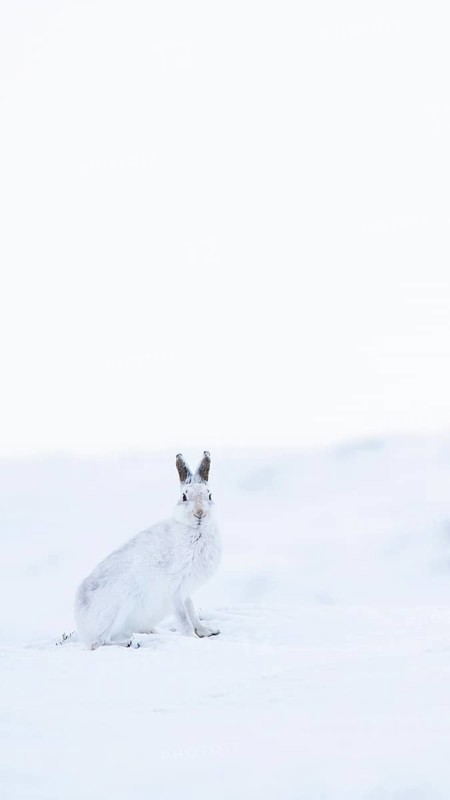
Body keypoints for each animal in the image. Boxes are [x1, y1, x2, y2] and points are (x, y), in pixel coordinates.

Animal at [74, 451, 221, 649]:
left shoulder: (185, 592)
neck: (194, 531)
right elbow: (184, 618)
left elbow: (192, 613)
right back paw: (128, 643)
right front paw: (192, 638)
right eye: (184, 497)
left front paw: (207, 631)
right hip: (119, 609)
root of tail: (81, 624)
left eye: (210, 495)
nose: (200, 513)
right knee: (99, 642)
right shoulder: (175, 588)